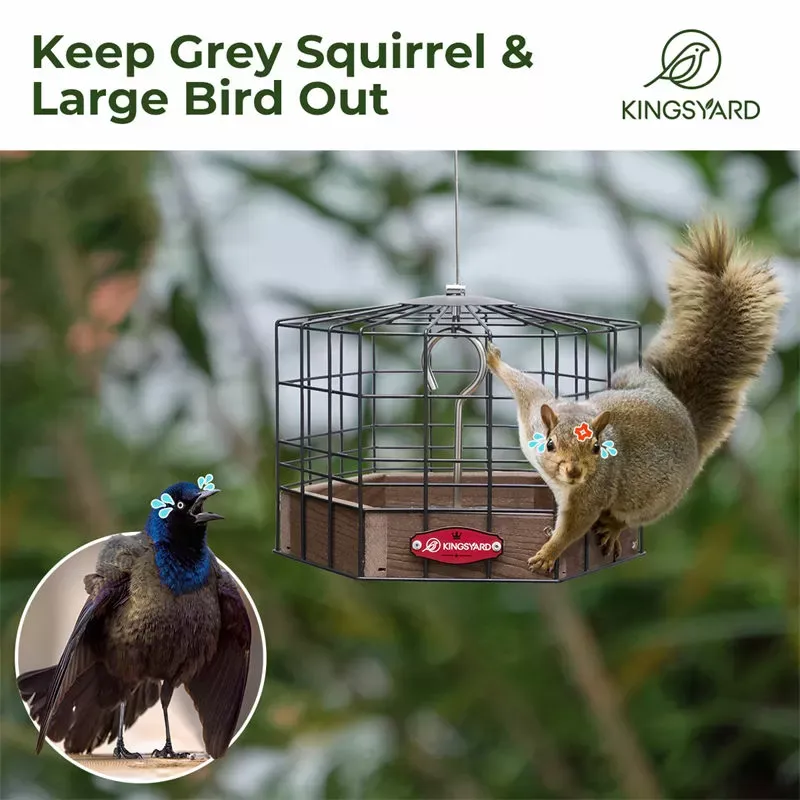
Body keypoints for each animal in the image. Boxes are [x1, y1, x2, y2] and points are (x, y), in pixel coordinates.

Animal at [486, 218, 785, 574]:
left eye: (597, 448)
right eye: (550, 444)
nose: (574, 472)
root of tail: (688, 425)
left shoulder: (591, 495)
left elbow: (574, 526)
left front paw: (548, 554)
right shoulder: (534, 412)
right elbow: (526, 386)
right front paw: (493, 359)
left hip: (654, 499)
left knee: (632, 516)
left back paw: (615, 527)